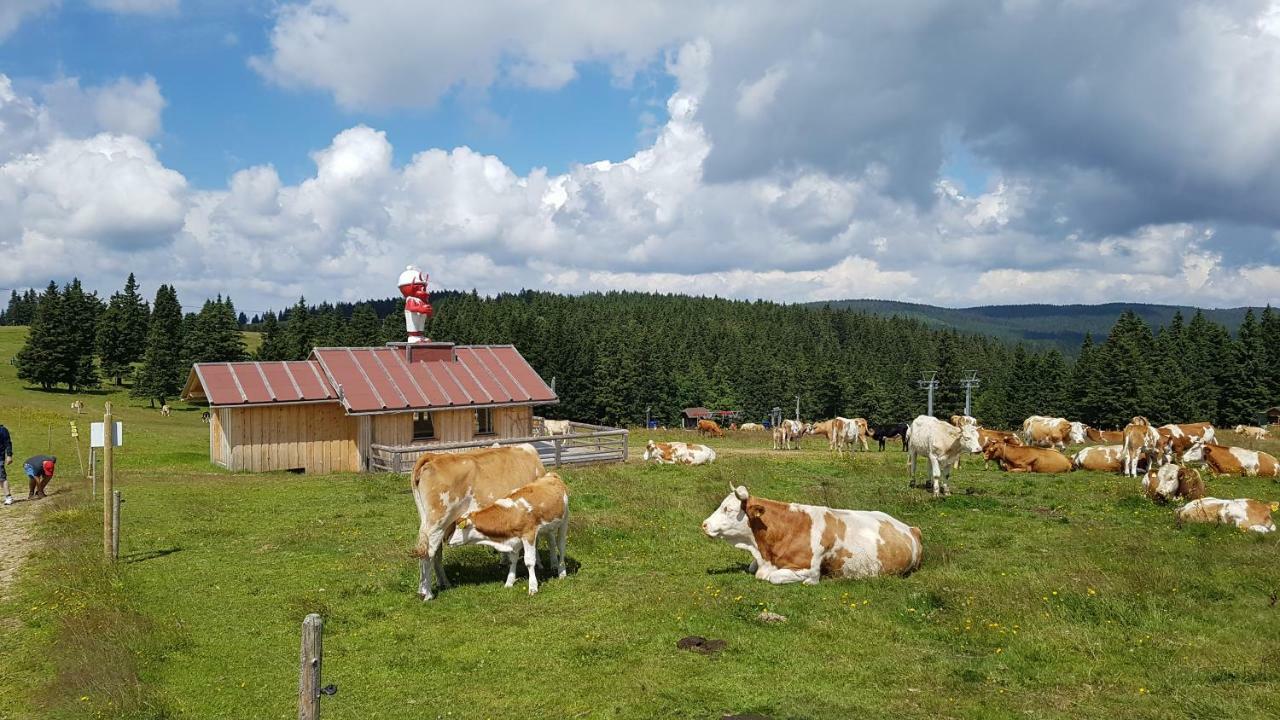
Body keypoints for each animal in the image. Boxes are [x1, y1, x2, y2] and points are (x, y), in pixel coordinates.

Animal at [409, 443, 545, 599]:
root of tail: (433, 457)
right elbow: (536, 540)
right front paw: (539, 564)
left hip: (431, 522)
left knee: (434, 552)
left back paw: (442, 583)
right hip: (437, 523)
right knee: (428, 553)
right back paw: (427, 593)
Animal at [701, 481, 921, 584]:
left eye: (728, 509)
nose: (704, 524)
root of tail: (912, 528)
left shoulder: (809, 569)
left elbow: (774, 577)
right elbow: (752, 568)